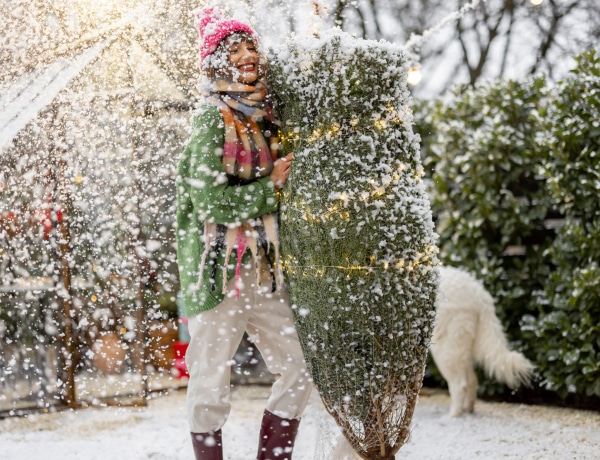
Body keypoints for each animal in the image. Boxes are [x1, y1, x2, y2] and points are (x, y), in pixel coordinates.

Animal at [432, 264, 536, 418]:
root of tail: (479, 294)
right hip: (462, 348)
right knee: (472, 381)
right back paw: (467, 409)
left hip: (446, 349)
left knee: (460, 385)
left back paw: (453, 415)